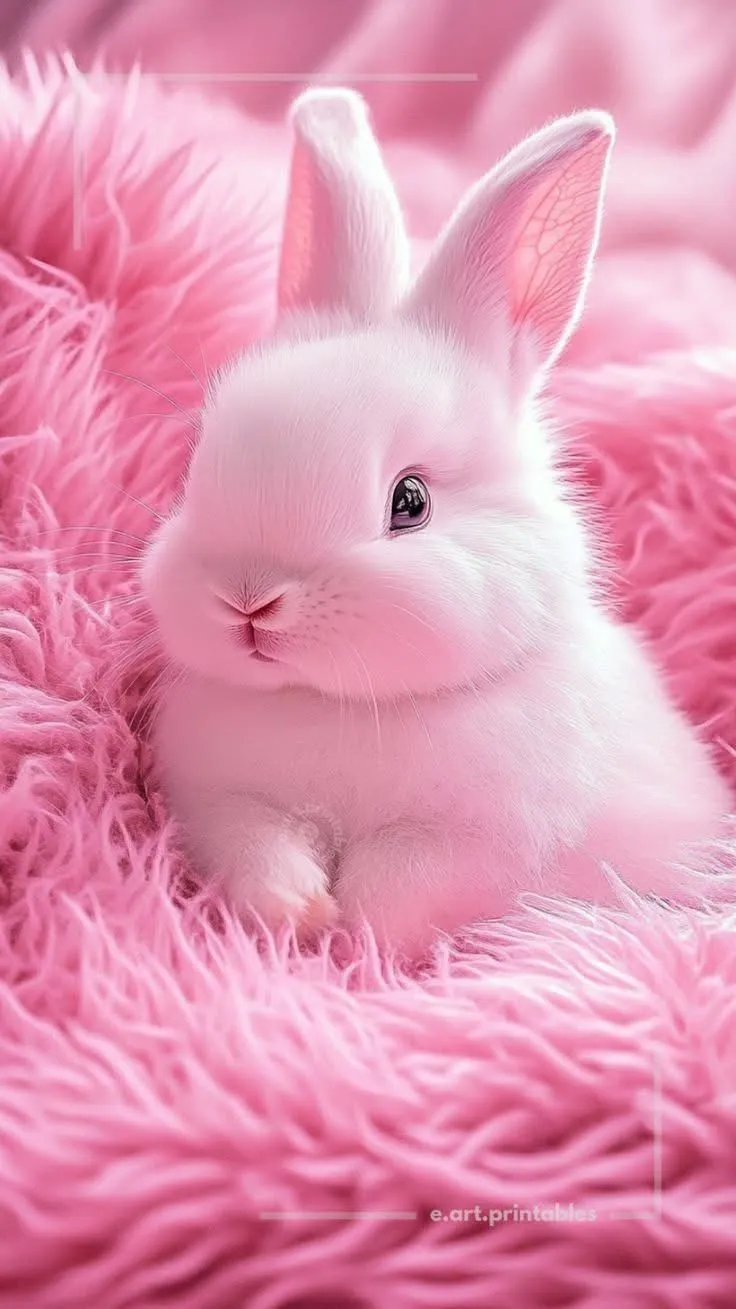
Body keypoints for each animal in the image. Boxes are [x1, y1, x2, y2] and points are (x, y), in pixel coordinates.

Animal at [141, 88, 732, 956]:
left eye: (410, 501)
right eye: (197, 465)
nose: (249, 600)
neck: (340, 704)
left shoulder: (479, 846)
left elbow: (401, 883)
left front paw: (351, 933)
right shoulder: (223, 805)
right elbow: (258, 849)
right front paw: (299, 908)